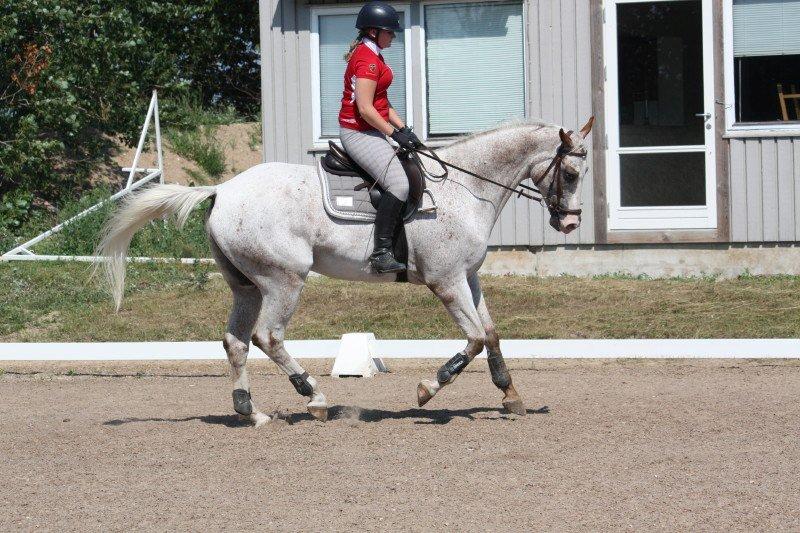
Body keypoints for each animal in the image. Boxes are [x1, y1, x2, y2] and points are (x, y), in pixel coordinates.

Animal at [95, 117, 592, 424]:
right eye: (570, 173)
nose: (570, 223)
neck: (466, 187)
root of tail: (223, 189)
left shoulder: (468, 278)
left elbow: (491, 334)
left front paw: (511, 396)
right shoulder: (447, 282)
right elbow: (472, 340)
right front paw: (427, 389)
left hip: (247, 287)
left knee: (236, 342)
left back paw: (252, 413)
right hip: (283, 280)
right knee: (267, 337)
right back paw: (314, 398)